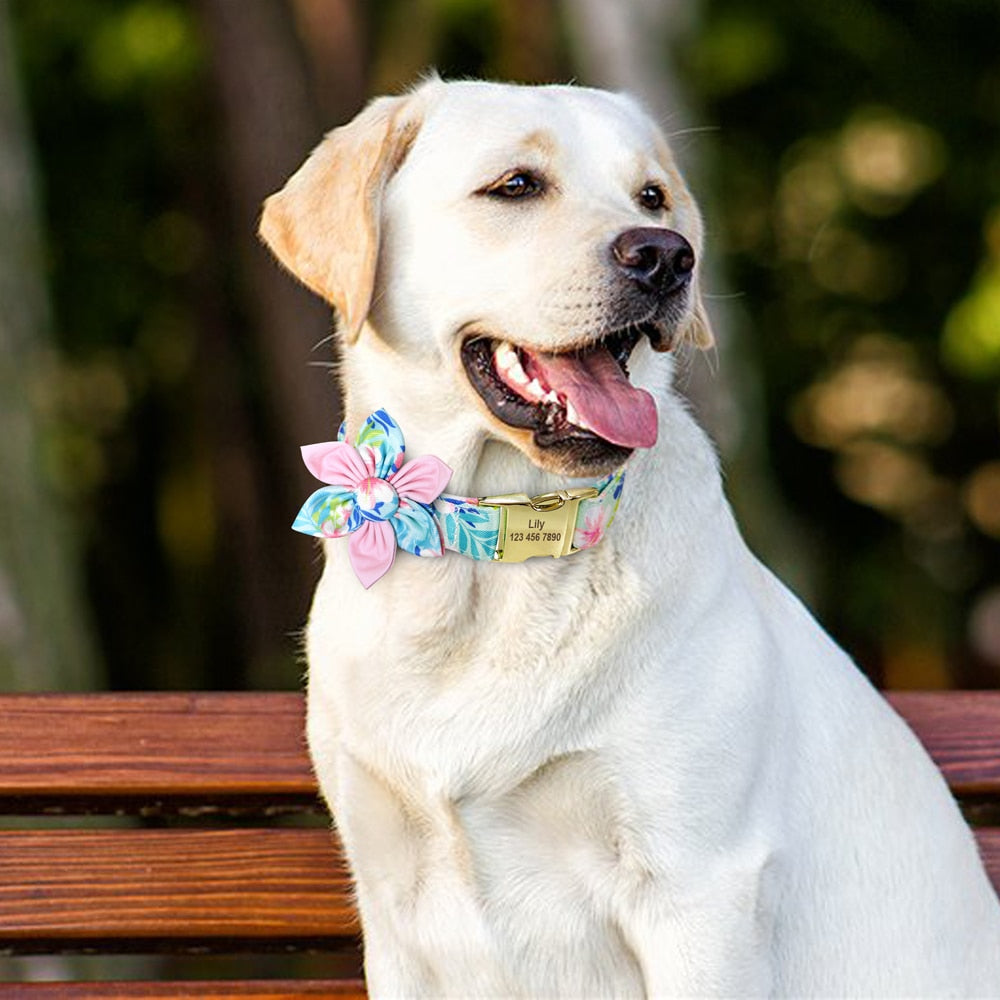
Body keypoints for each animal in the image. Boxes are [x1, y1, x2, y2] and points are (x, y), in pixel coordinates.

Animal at [260, 80, 1000, 1000]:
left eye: (652, 196)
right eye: (516, 185)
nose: (667, 256)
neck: (495, 550)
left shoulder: (699, 890)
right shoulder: (394, 903)